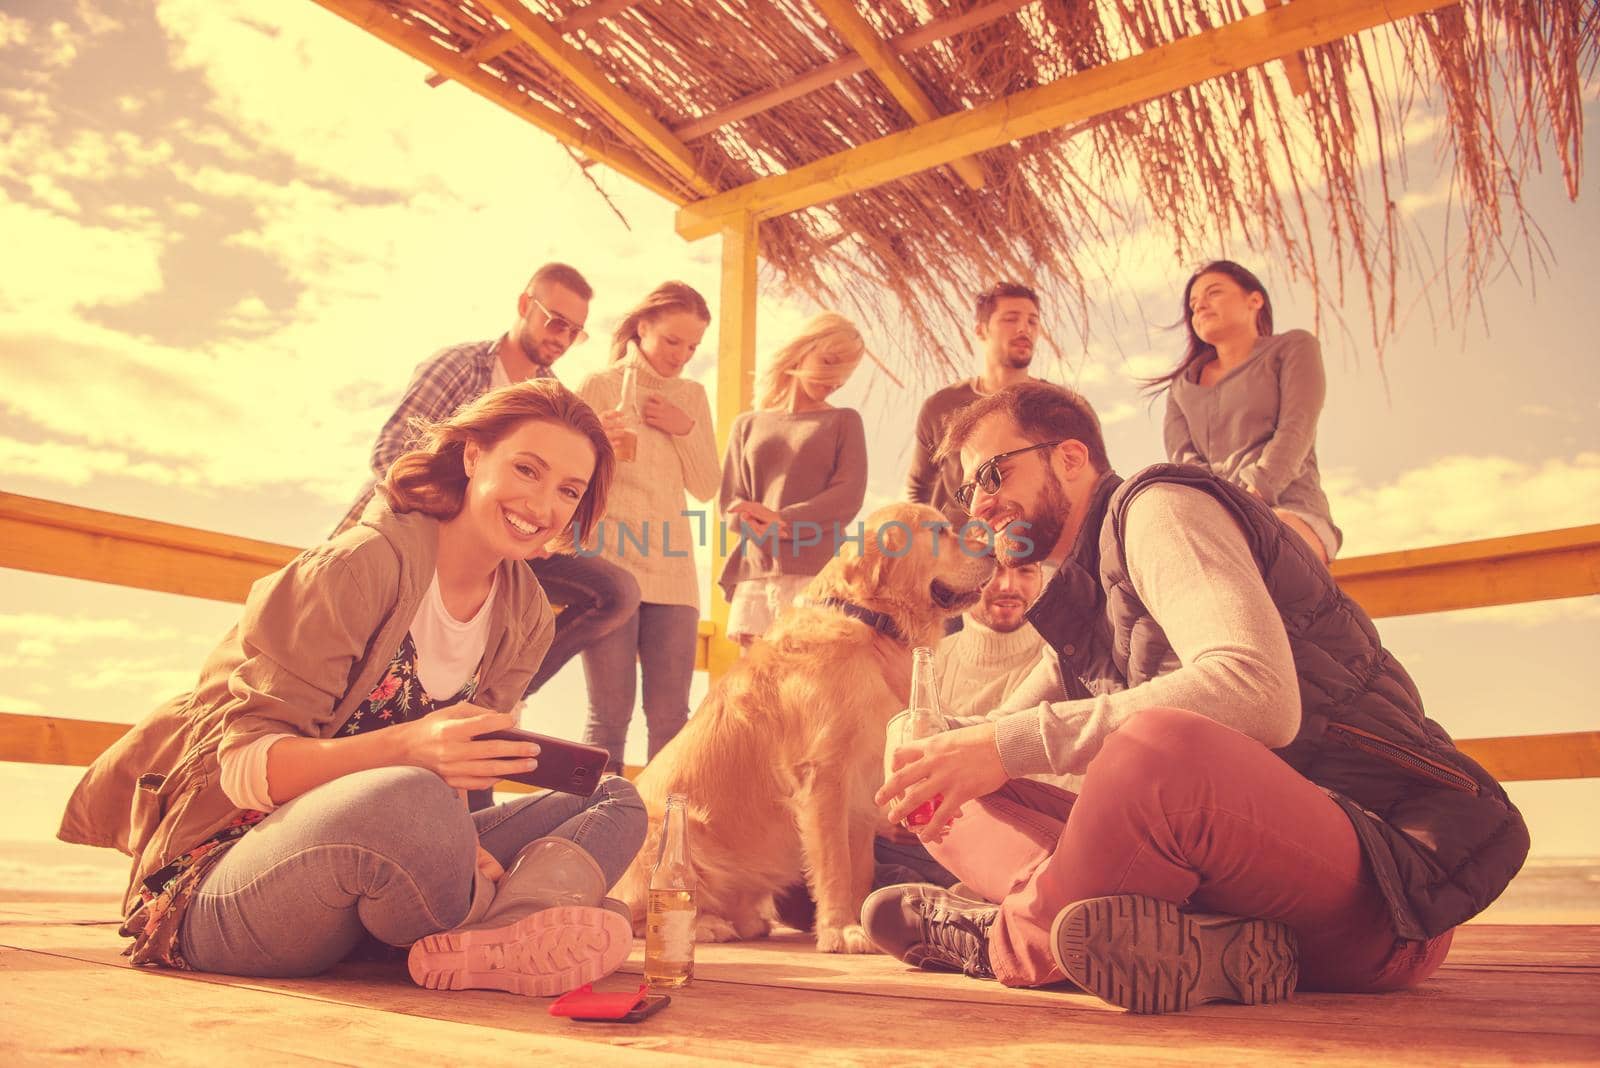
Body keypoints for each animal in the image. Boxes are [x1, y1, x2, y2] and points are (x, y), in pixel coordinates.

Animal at [617, 505, 992, 952]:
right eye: (939, 531)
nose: (997, 549)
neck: (870, 621)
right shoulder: (824, 776)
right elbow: (835, 865)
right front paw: (840, 930)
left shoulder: (861, 788)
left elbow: (859, 868)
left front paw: (858, 921)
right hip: (674, 828)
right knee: (638, 913)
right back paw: (704, 925)